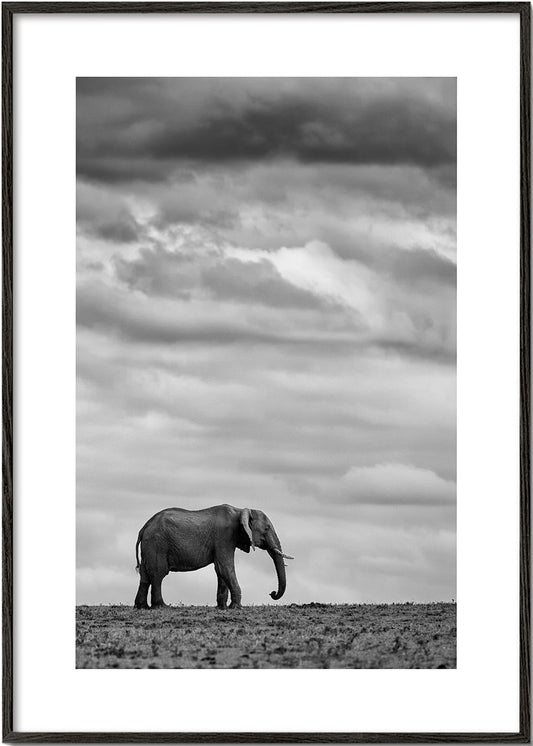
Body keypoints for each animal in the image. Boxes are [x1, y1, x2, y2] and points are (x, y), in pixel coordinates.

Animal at [134, 504, 293, 609]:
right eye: (266, 528)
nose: (272, 593)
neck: (240, 510)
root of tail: (143, 528)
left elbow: (220, 570)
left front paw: (222, 607)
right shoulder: (224, 536)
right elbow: (225, 567)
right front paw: (236, 607)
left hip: (150, 545)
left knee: (145, 575)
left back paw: (141, 607)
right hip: (157, 543)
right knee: (158, 573)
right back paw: (162, 606)